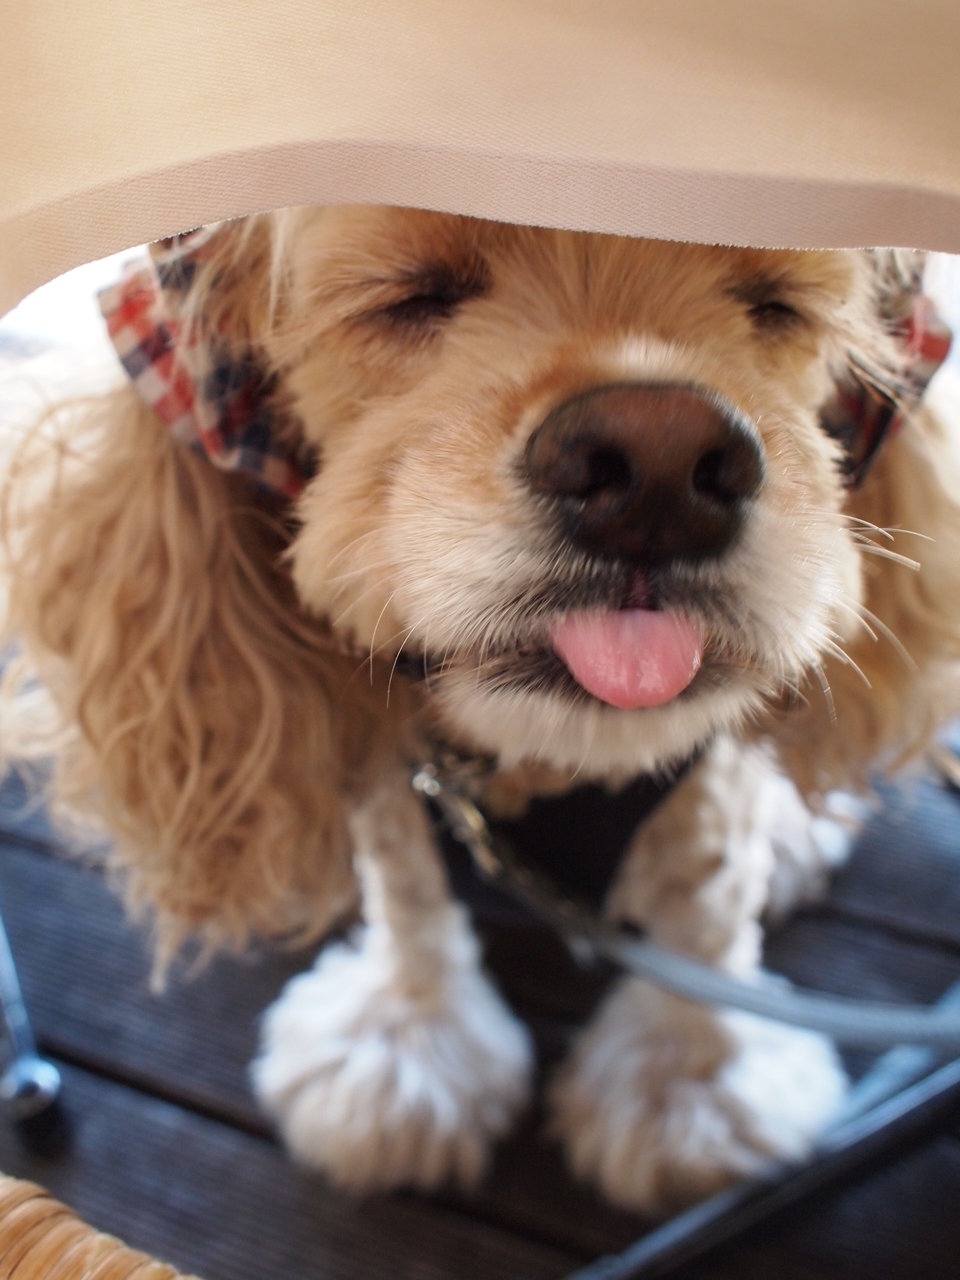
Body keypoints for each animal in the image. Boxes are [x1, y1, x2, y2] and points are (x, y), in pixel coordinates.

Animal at [3, 206, 960, 1215]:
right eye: (411, 294)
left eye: (774, 304)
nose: (658, 461)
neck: (551, 767)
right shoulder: (396, 795)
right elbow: (412, 905)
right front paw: (407, 1045)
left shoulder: (706, 799)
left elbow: (705, 918)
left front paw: (690, 1089)